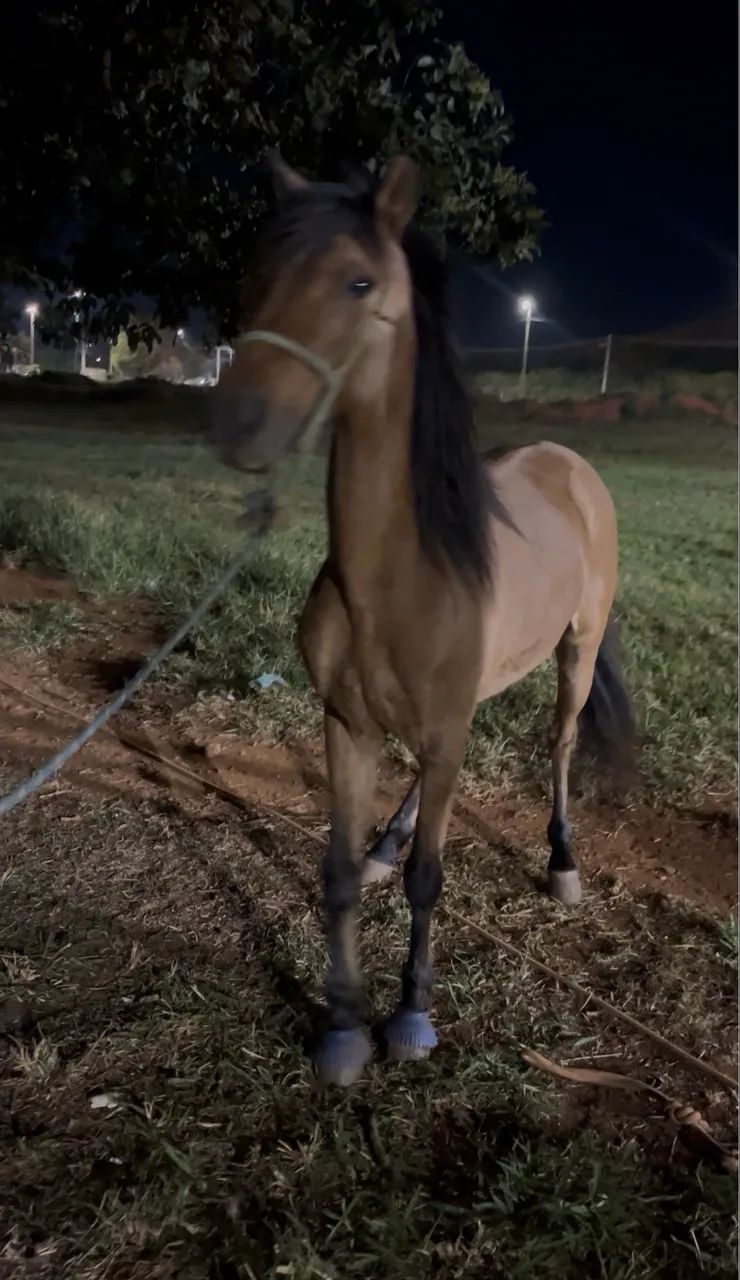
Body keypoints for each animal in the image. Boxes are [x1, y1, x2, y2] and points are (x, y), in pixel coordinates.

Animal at [215, 154, 634, 1086]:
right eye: (254, 270)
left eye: (358, 281)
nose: (240, 425)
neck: (402, 576)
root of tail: (573, 466)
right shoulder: (346, 723)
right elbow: (336, 872)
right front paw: (342, 1026)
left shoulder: (446, 731)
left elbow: (429, 881)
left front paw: (410, 1015)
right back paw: (388, 840)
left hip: (577, 651)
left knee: (558, 743)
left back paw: (561, 861)